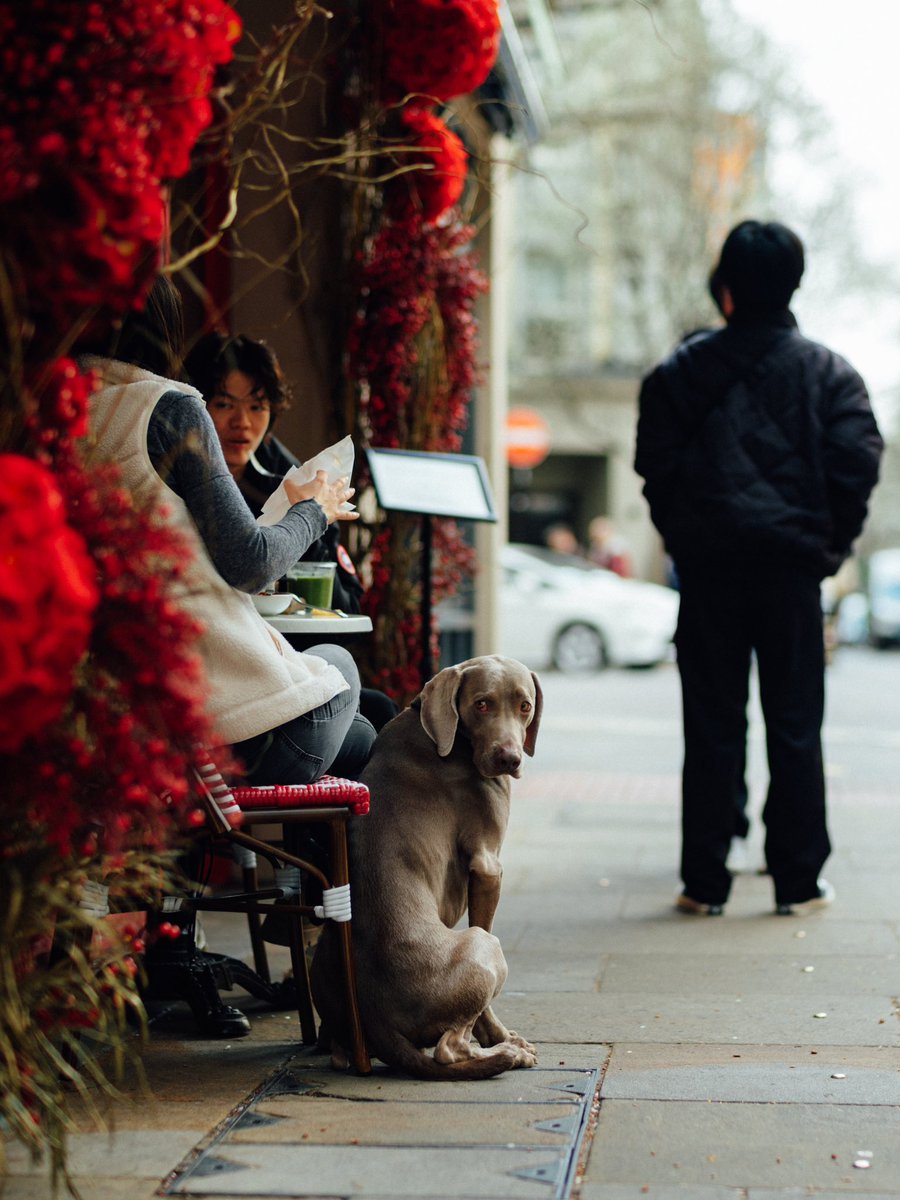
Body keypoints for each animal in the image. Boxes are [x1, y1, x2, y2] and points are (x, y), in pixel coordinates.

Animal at [312, 657, 542, 1080]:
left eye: (525, 706)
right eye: (482, 704)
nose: (509, 760)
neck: (443, 734)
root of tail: (378, 1022)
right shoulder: (488, 866)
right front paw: (497, 1034)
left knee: (339, 1052)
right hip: (484, 947)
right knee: (448, 1050)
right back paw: (506, 1052)